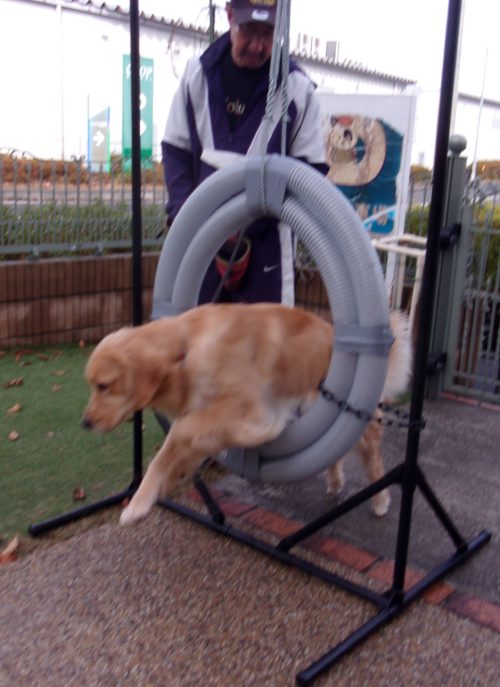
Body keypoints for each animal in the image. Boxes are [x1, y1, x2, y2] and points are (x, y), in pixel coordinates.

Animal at [82, 303, 412, 525]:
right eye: (93, 385)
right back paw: (334, 482)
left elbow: (183, 429)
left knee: (373, 462)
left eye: (104, 386)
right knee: (334, 453)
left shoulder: (248, 407)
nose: (85, 423)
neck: (185, 351)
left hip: (355, 423)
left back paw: (380, 501)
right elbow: (167, 454)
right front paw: (142, 501)